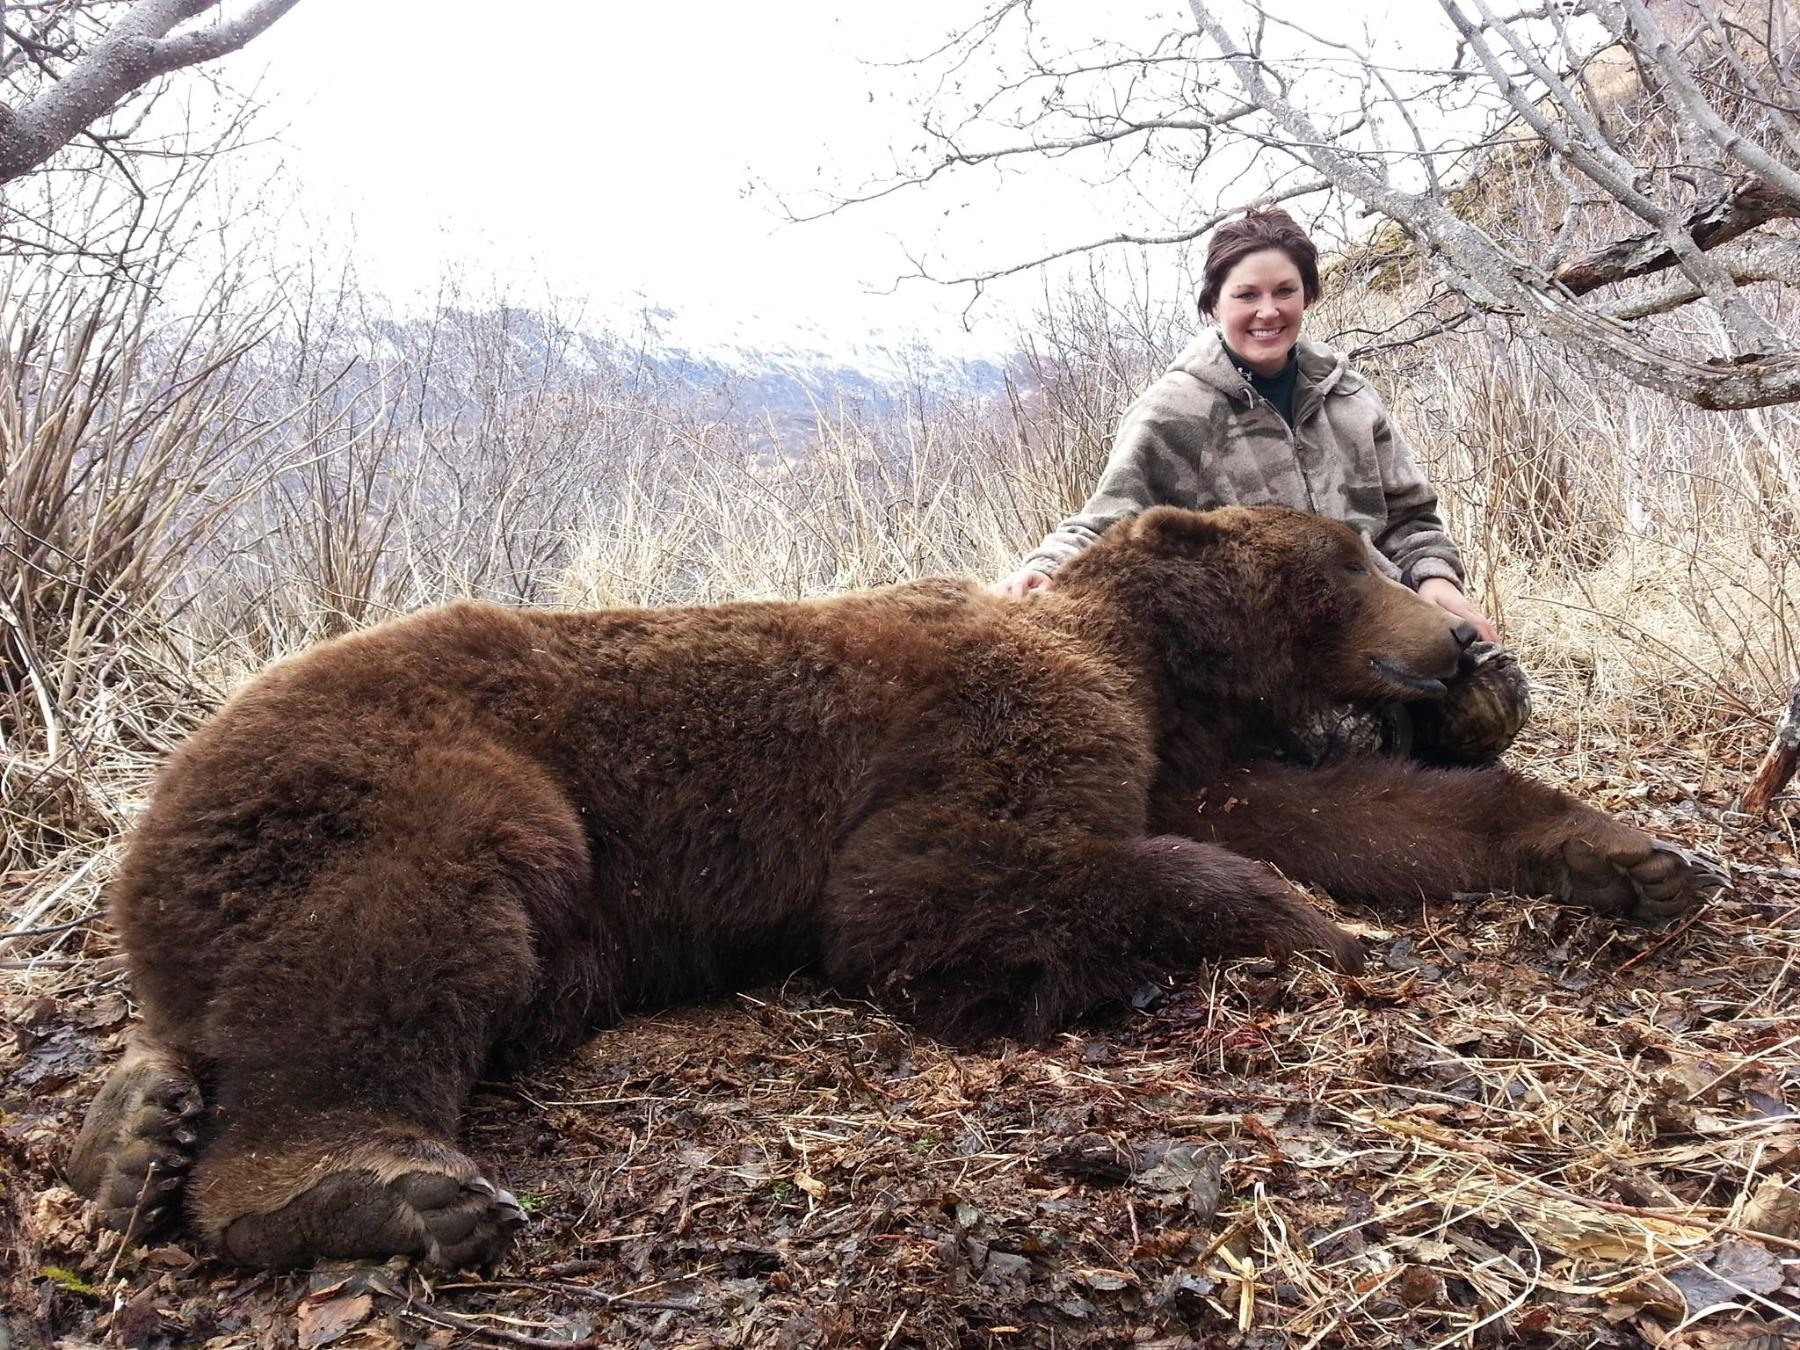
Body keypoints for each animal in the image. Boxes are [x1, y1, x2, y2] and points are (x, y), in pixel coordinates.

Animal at [66, 505, 1719, 1271]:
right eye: (1346, 558)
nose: (1459, 641)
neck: (1146, 660)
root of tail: (148, 806)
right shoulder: (1004, 721)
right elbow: (915, 893)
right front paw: (1294, 916)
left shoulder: (1179, 749)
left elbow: (1368, 812)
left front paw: (1637, 858)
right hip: (418, 772)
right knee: (399, 928)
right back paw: (363, 1180)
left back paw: (132, 1125)